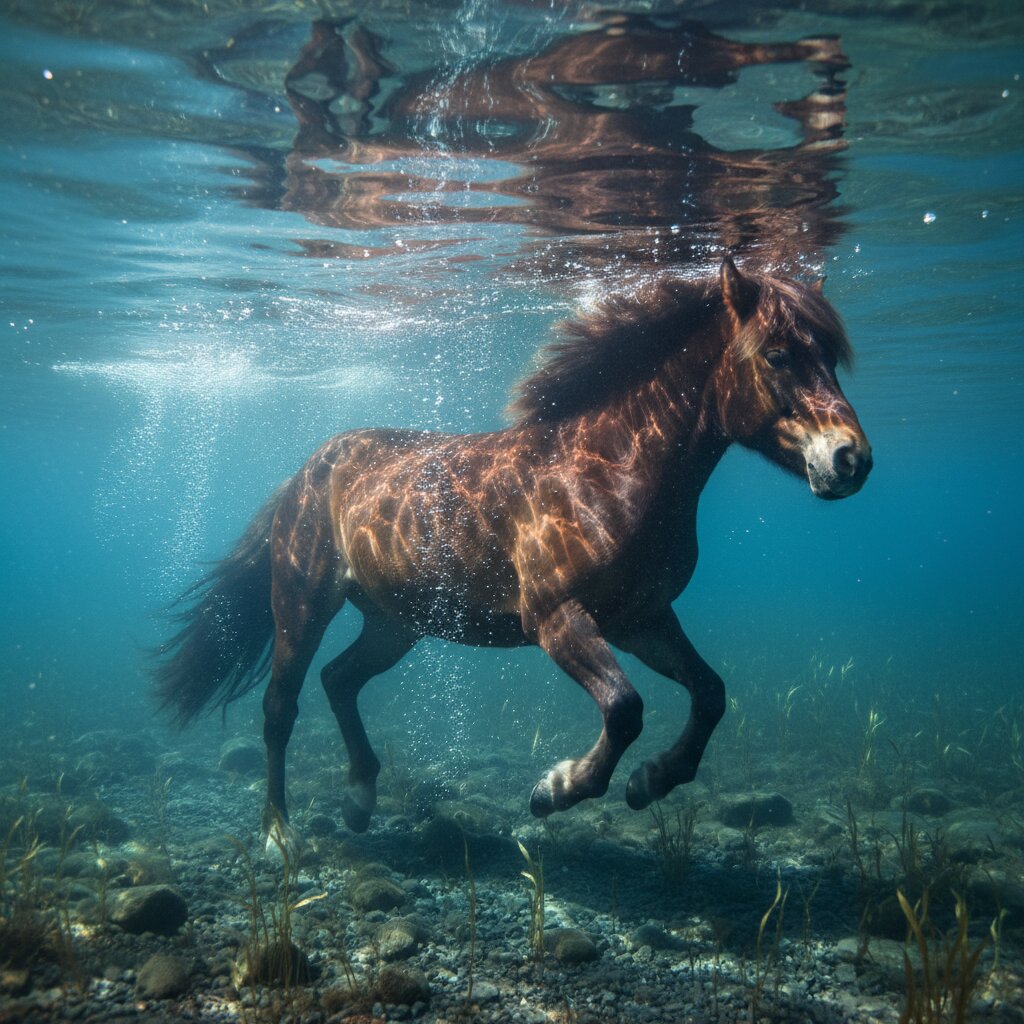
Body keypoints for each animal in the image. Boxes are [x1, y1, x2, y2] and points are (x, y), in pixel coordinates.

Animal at [156, 258, 871, 849]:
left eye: (831, 357)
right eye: (777, 355)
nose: (851, 460)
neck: (611, 472)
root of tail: (305, 471)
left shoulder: (642, 619)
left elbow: (711, 693)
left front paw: (650, 781)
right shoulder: (556, 619)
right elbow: (624, 708)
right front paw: (557, 788)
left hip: (397, 623)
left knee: (340, 679)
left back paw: (360, 800)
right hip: (303, 603)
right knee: (281, 708)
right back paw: (280, 834)